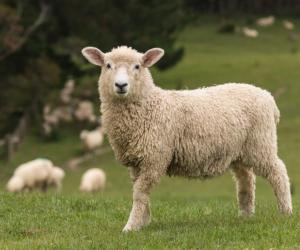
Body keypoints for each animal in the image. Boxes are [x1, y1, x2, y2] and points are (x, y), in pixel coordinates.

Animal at [81, 45, 292, 232]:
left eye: (137, 66)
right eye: (108, 65)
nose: (121, 85)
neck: (149, 106)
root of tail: (268, 98)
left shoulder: (154, 158)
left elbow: (140, 193)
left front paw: (131, 226)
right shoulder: (137, 161)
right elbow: (140, 191)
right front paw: (144, 221)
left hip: (261, 143)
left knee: (278, 171)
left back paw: (286, 212)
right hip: (239, 151)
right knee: (246, 179)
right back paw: (245, 215)